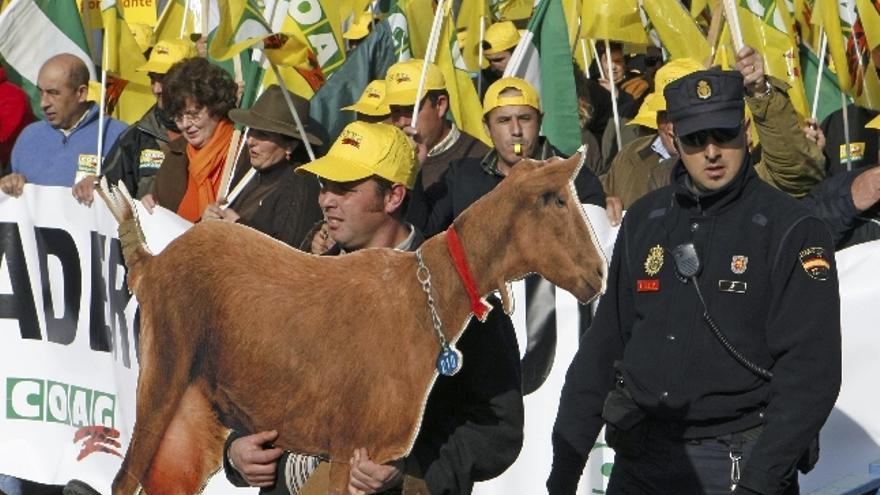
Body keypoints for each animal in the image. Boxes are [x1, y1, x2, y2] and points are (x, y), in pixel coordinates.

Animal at [96, 152, 604, 495]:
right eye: (556, 199)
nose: (597, 273)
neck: (428, 296)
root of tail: (150, 263)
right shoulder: (349, 448)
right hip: (164, 372)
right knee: (123, 479)